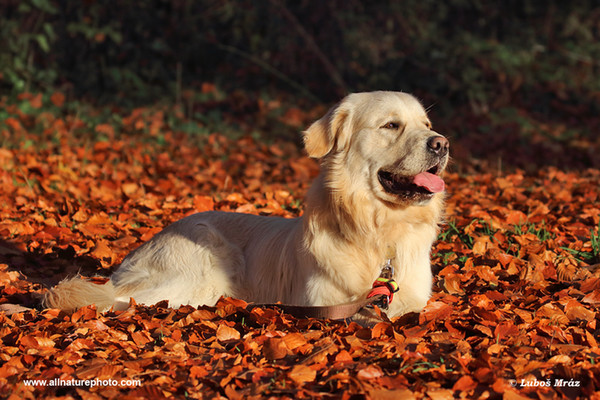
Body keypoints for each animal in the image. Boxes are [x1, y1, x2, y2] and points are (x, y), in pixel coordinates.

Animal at [43, 90, 450, 318]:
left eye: (427, 124)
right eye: (391, 125)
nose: (442, 144)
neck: (374, 230)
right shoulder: (320, 299)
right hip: (200, 270)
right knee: (119, 299)